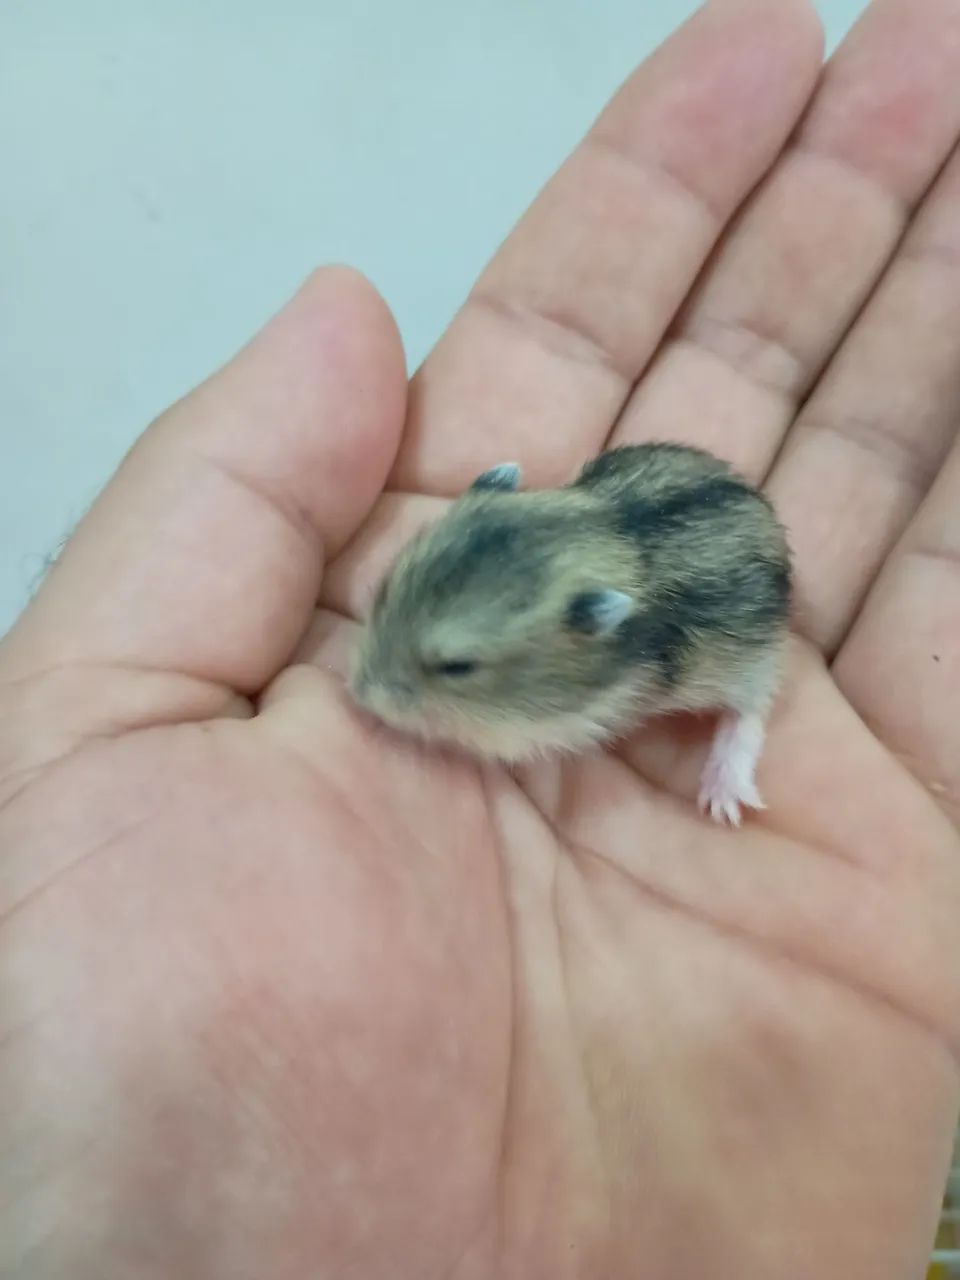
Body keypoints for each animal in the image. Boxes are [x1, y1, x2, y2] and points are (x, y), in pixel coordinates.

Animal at [349, 443, 792, 825]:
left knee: (749, 712)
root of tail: (766, 512)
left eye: (457, 667)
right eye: (385, 590)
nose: (356, 693)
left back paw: (723, 799)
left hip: (747, 660)